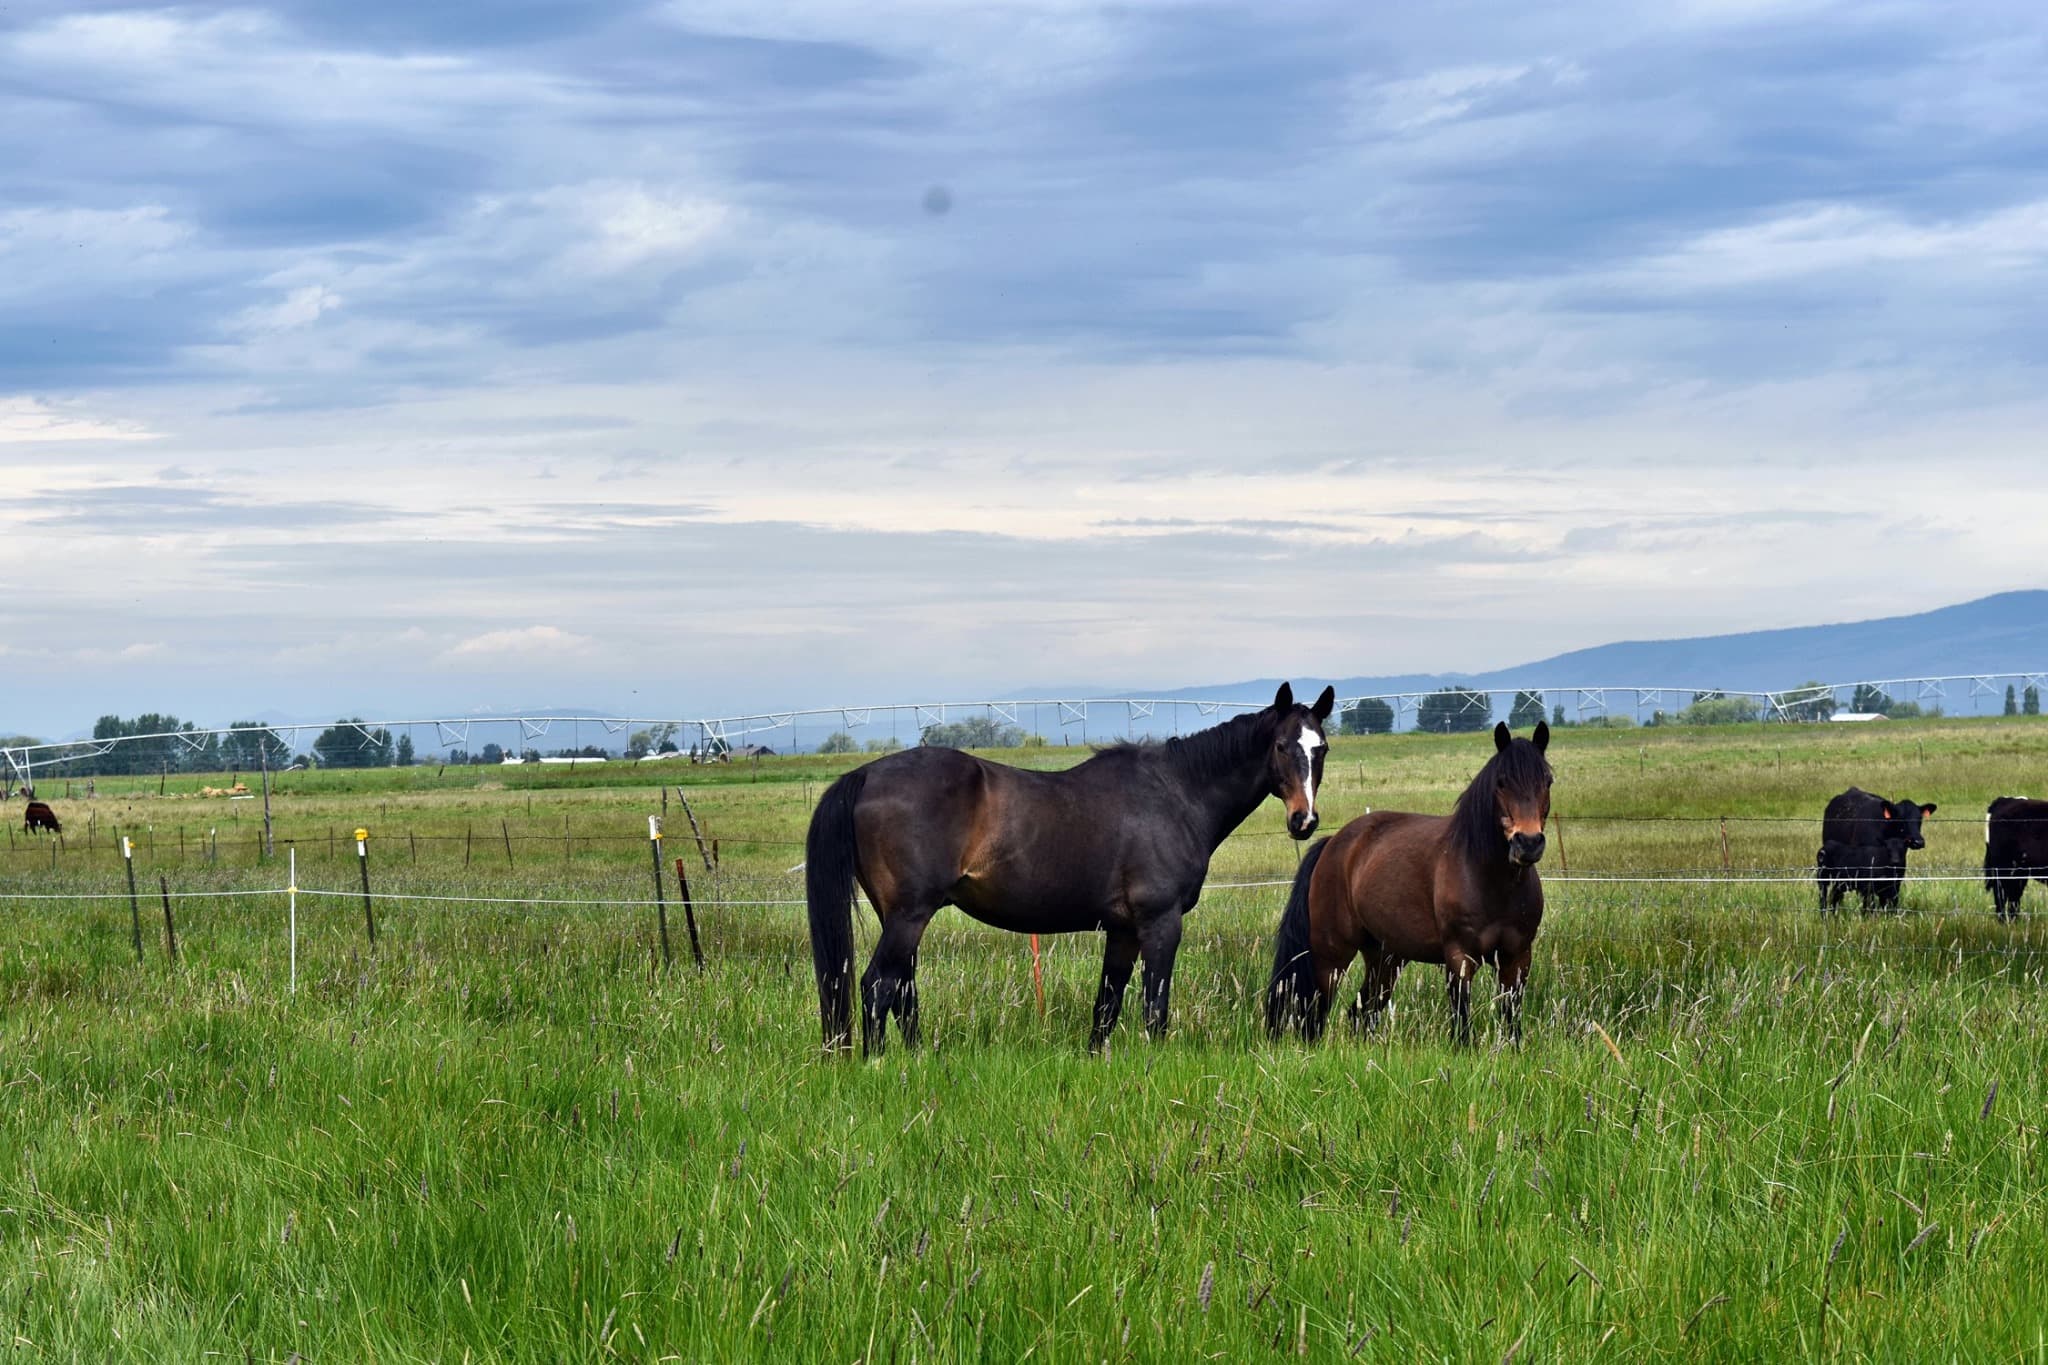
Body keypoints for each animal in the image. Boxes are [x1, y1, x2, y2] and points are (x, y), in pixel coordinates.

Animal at [806, 682, 1336, 1053]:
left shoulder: (1122, 930)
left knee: (902, 989)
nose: (1304, 820)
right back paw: (879, 1063)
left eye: (1321, 748)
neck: (1177, 793)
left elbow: (1107, 1005)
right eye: (1282, 746)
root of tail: (867, 774)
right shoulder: (1160, 923)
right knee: (879, 986)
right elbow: (1155, 1006)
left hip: (901, 916)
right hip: (909, 914)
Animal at [1266, 720, 1552, 1046]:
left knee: (1361, 1011)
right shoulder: (1459, 958)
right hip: (1332, 954)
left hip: (1386, 958)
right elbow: (1462, 1023)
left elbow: (1512, 1020)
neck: (1491, 881)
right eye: (1502, 782)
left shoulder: (1517, 959)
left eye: (1548, 781)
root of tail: (1333, 844)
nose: (1528, 843)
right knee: (1315, 1013)